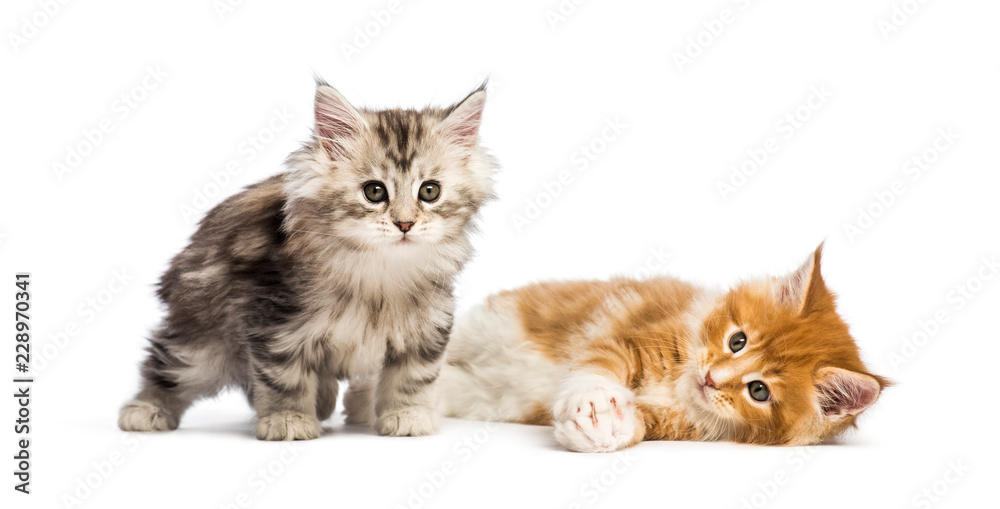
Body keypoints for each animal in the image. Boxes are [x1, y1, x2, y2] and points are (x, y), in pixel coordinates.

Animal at [121, 81, 496, 438]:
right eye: (374, 192)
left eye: (430, 191)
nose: (405, 224)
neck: (377, 271)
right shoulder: (275, 321)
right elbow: (285, 378)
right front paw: (288, 419)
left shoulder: (428, 324)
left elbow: (413, 376)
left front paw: (407, 415)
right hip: (203, 343)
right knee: (165, 367)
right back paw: (144, 409)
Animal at [430, 244, 892, 450]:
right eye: (737, 340)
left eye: (759, 390)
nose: (711, 378)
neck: (680, 387)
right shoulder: (631, 334)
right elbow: (597, 366)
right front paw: (594, 402)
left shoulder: (677, 423)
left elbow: (640, 423)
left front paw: (605, 428)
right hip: (484, 324)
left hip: (483, 396)